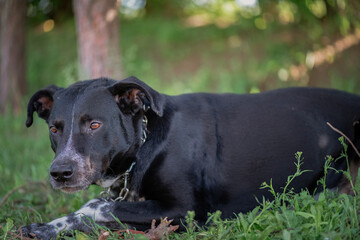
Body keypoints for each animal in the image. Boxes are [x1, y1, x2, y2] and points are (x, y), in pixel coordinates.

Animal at [21, 76, 360, 238]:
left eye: (94, 125)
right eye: (54, 128)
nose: (60, 173)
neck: (147, 144)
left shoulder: (183, 211)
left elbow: (97, 207)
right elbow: (99, 209)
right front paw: (48, 227)